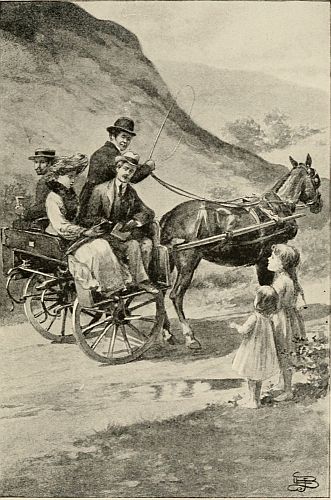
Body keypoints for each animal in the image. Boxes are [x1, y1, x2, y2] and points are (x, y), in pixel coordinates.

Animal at [161, 153, 324, 348]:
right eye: (316, 178)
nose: (319, 204)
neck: (275, 209)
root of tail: (170, 215)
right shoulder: (265, 259)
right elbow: (266, 287)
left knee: (159, 293)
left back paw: (167, 333)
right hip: (188, 262)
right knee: (176, 296)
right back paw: (190, 336)